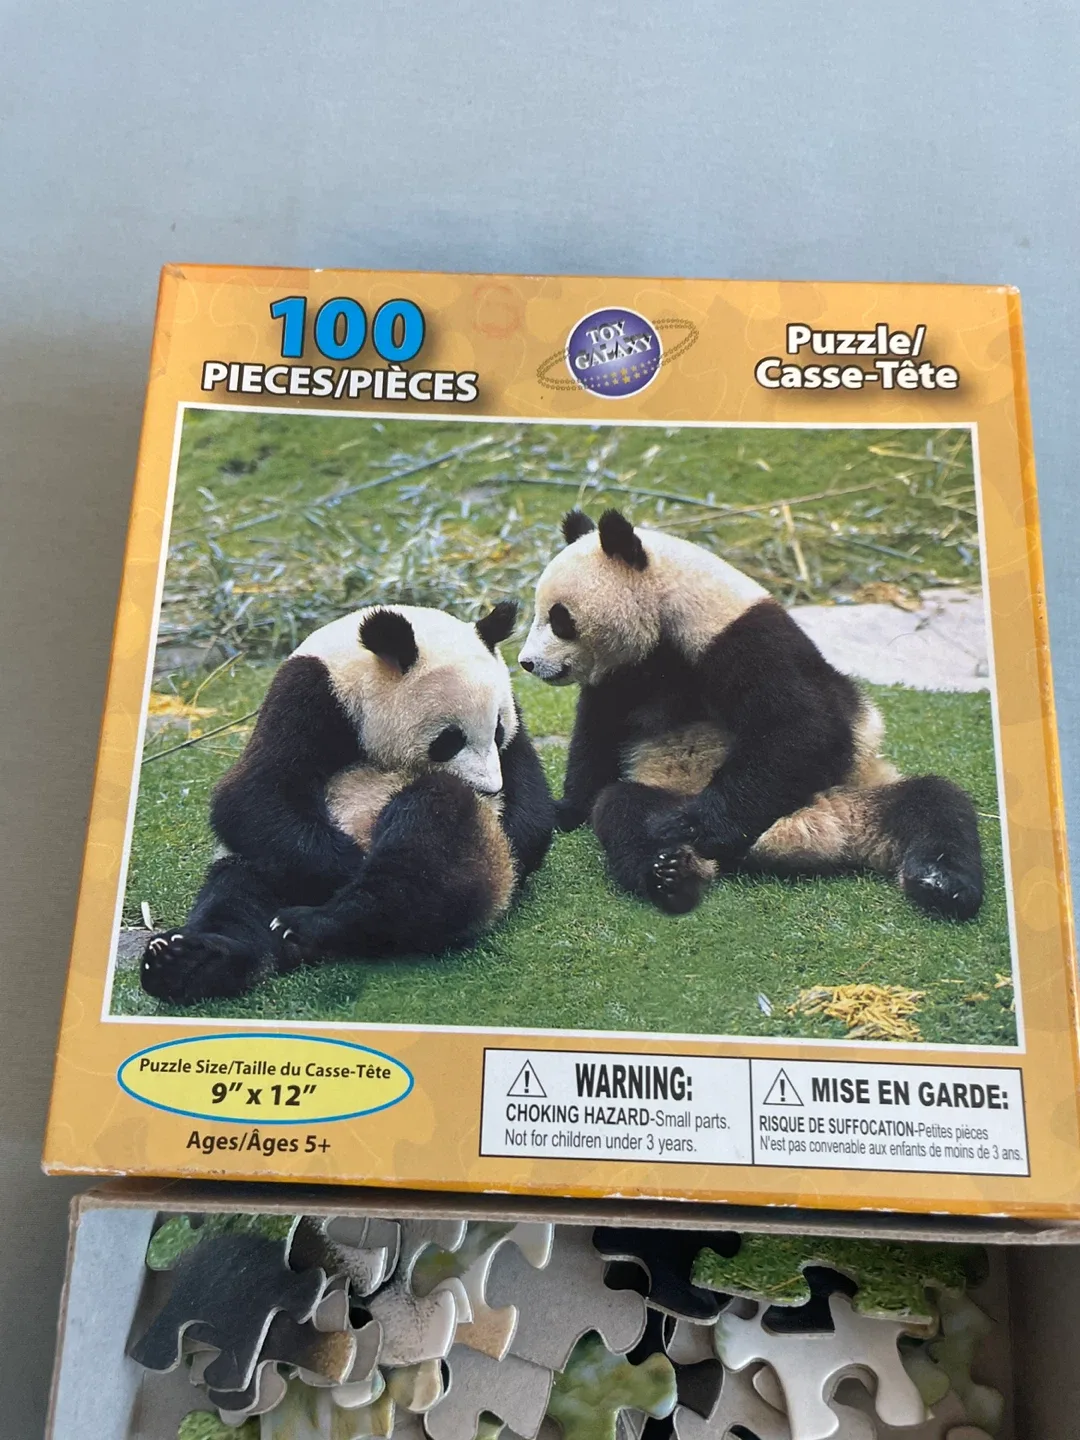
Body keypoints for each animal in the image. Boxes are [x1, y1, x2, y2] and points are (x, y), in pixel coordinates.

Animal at [140, 601, 554, 1004]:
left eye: (497, 730)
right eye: (449, 740)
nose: (489, 788)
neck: (352, 669)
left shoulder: (514, 723)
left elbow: (531, 803)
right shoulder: (306, 697)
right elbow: (251, 796)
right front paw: (349, 864)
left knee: (429, 841)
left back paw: (313, 925)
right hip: (261, 868)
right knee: (237, 895)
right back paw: (191, 961)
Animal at [518, 508, 983, 921]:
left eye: (559, 619)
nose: (527, 663)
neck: (668, 609)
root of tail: (807, 832)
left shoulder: (742, 640)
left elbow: (805, 728)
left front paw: (696, 823)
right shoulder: (622, 677)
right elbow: (596, 739)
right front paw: (567, 809)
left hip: (856, 790)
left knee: (936, 804)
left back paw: (942, 884)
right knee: (624, 810)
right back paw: (672, 875)